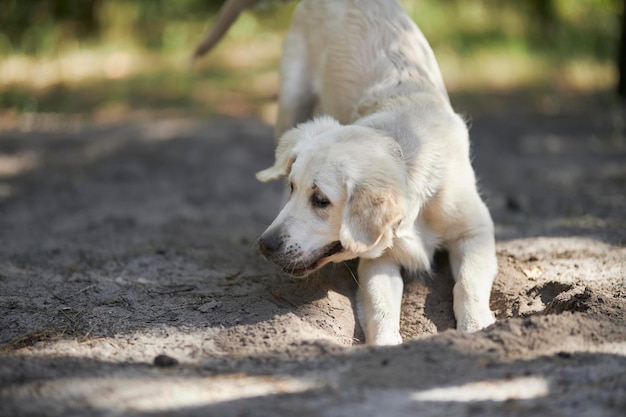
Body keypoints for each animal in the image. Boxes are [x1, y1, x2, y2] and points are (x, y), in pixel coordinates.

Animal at [193, 0, 494, 344]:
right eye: (295, 187)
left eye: (321, 201)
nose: (265, 245)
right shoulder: (378, 259)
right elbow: (382, 307)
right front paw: (386, 343)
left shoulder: (476, 231)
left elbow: (468, 283)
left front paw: (476, 326)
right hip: (291, 100)